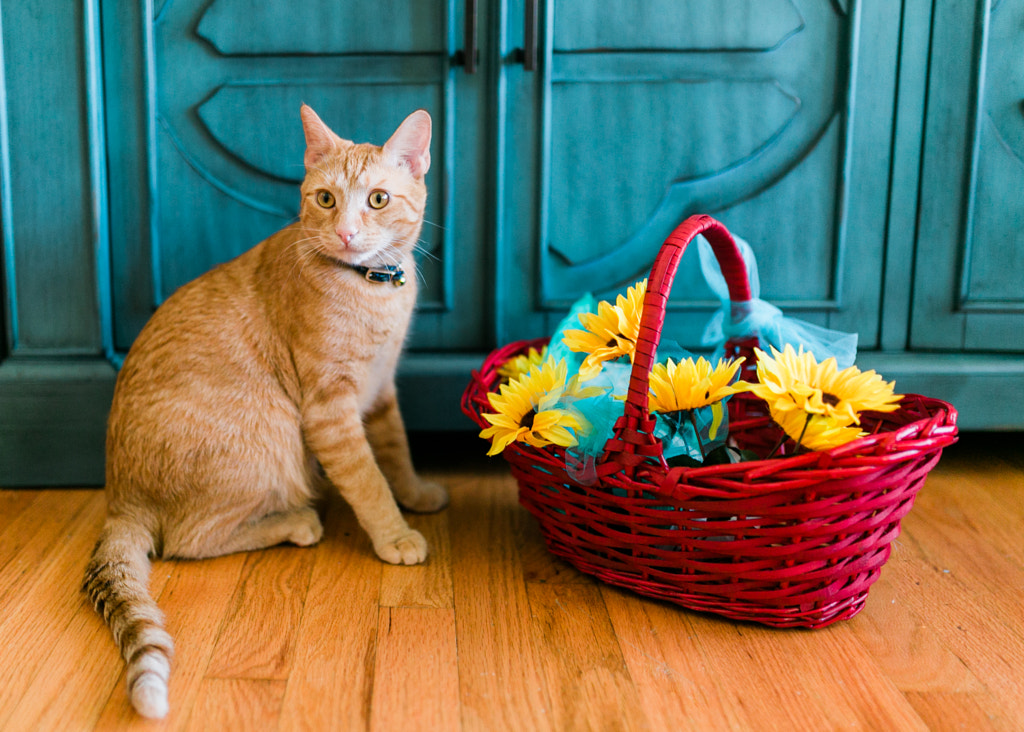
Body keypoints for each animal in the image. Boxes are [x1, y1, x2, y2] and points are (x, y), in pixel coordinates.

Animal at [81, 105, 446, 720]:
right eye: (325, 199)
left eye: (377, 199)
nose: (346, 232)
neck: (373, 287)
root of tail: (119, 498)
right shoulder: (329, 411)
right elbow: (369, 482)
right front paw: (394, 534)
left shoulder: (380, 390)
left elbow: (396, 451)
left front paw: (416, 494)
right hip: (269, 435)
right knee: (186, 540)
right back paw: (295, 522)